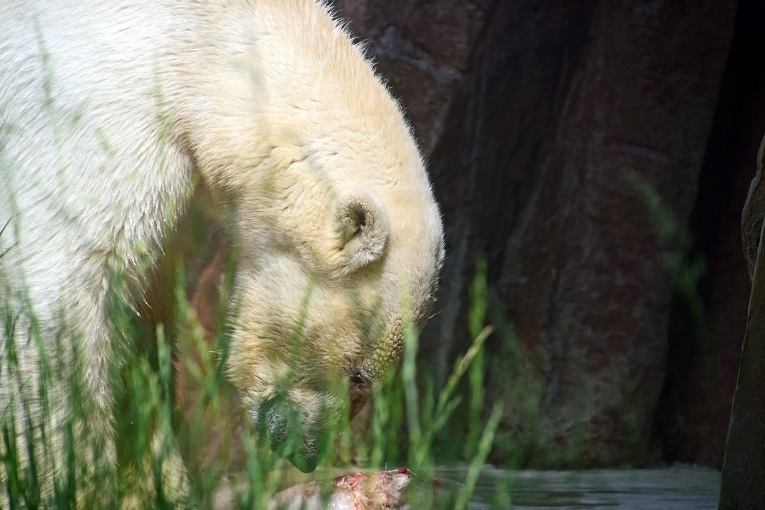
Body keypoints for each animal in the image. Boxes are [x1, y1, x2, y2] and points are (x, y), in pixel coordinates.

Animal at [0, 0, 442, 502]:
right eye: (357, 373)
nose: (306, 453)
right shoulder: (95, 114)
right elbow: (63, 297)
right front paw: (75, 485)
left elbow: (143, 311)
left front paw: (159, 485)